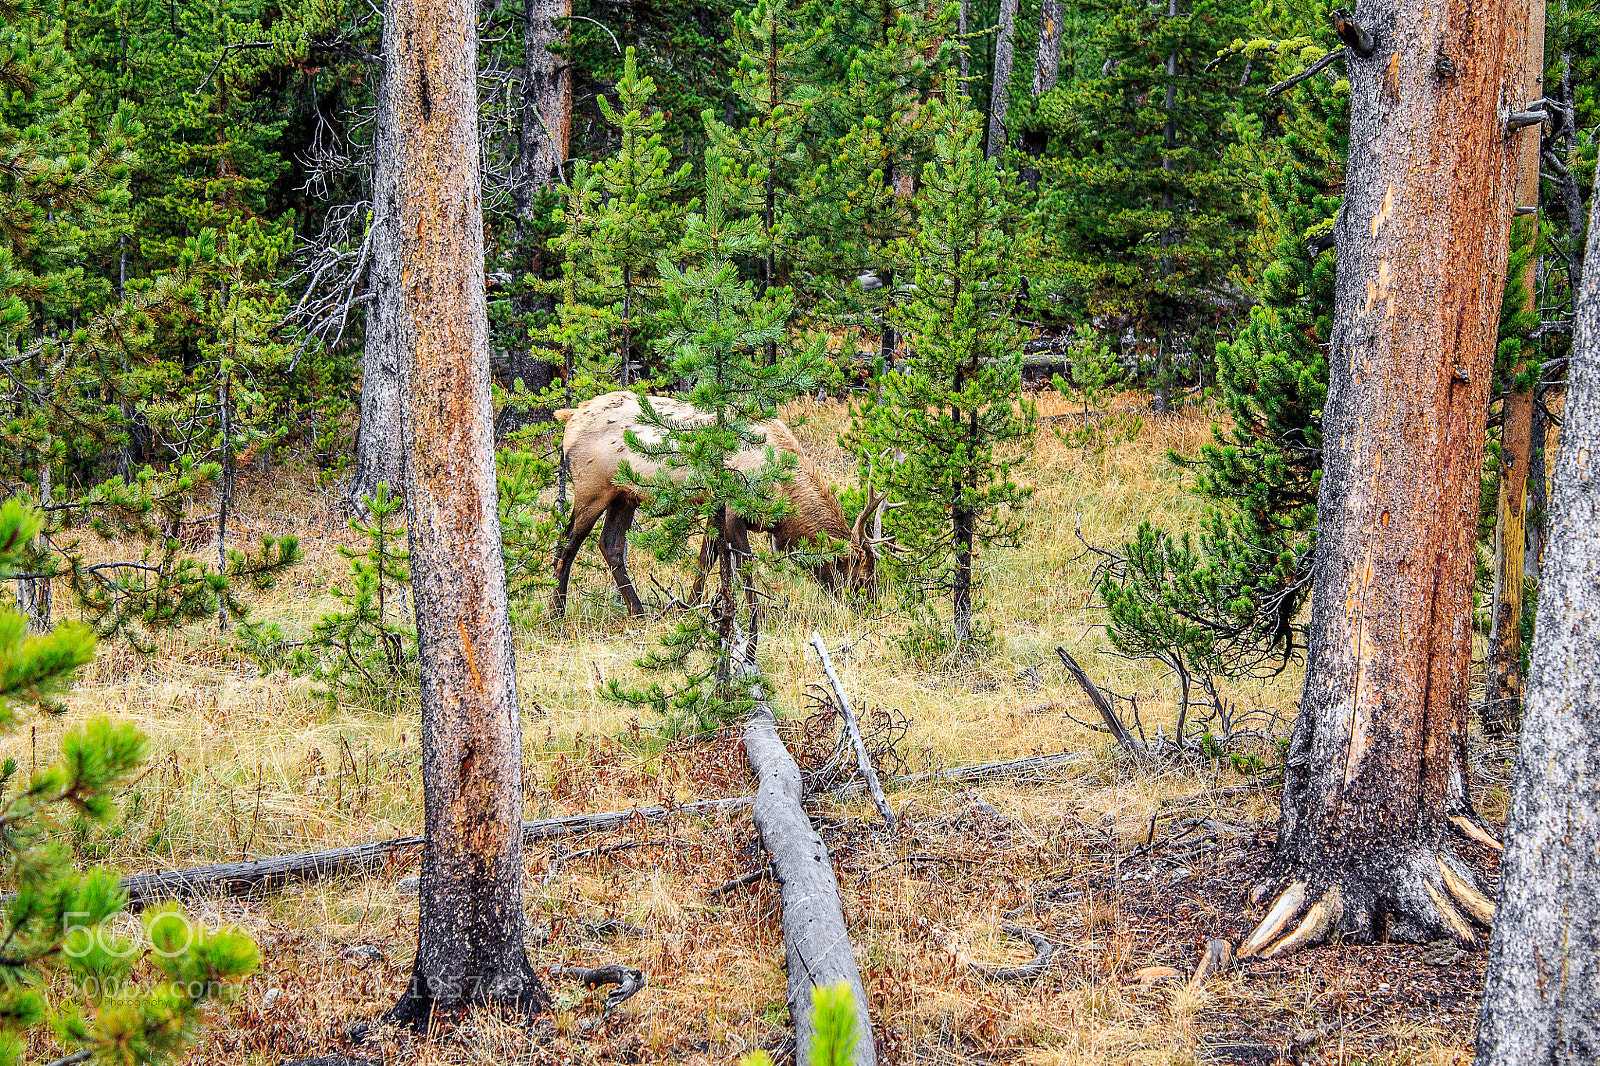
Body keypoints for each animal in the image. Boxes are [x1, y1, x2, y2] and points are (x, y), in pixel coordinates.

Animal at [550, 391, 889, 617]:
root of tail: (570, 417)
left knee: (610, 545)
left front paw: (691, 606)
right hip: (591, 490)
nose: (872, 607)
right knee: (567, 543)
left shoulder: (714, 508)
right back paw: (558, 610)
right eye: (861, 577)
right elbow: (744, 562)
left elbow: (706, 559)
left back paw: (638, 610)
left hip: (624, 495)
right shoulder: (734, 509)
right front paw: (754, 613)